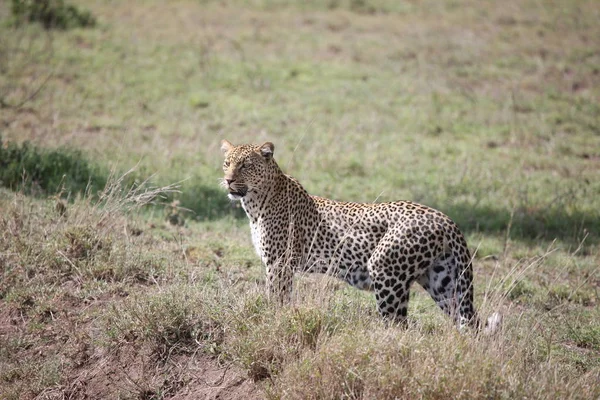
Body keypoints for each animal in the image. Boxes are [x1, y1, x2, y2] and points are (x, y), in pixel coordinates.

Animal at [220, 139, 496, 330]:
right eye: (227, 163)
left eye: (246, 165)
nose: (228, 180)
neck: (255, 204)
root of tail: (446, 219)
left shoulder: (280, 263)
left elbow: (277, 297)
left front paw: (272, 319)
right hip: (444, 282)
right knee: (469, 322)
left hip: (386, 271)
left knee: (398, 325)